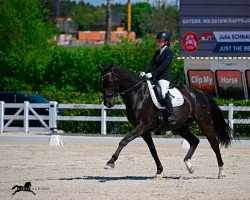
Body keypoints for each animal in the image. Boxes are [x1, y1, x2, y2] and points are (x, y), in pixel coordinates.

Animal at [98, 63, 233, 179]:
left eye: (109, 81)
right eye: (102, 82)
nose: (108, 103)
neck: (137, 94)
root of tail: (200, 93)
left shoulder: (142, 126)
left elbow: (124, 141)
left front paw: (110, 162)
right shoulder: (144, 130)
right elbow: (152, 149)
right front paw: (159, 171)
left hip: (204, 122)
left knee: (214, 143)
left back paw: (221, 172)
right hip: (180, 127)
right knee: (195, 141)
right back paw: (189, 166)